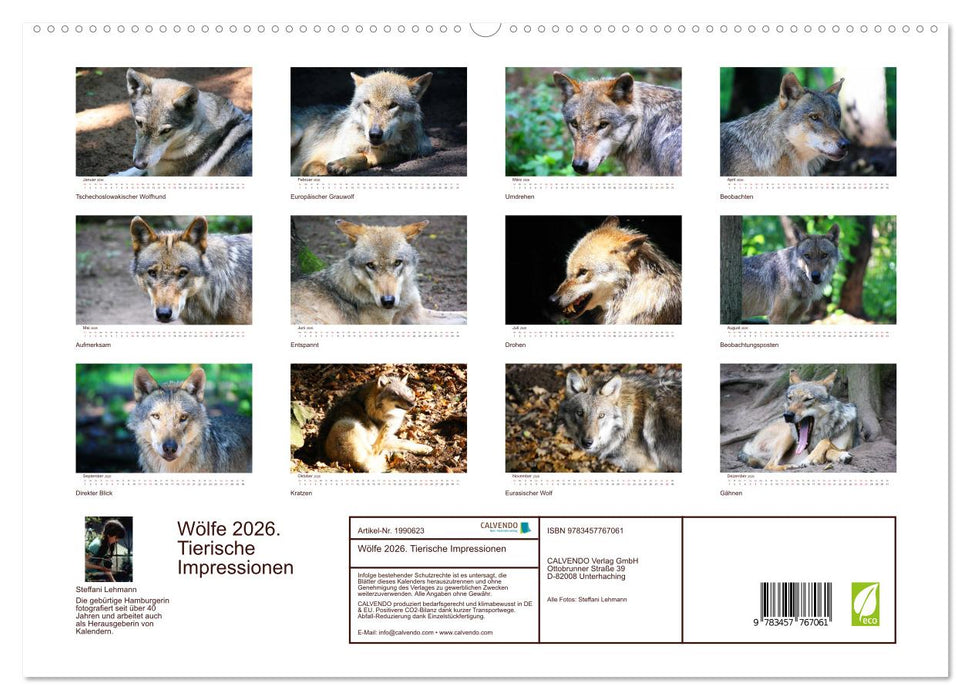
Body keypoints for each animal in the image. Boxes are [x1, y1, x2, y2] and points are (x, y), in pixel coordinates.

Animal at [291, 71, 434, 176]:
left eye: (393, 105)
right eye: (367, 103)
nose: (375, 134)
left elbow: (367, 157)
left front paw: (343, 164)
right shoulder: (311, 161)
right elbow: (320, 169)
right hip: (297, 133)